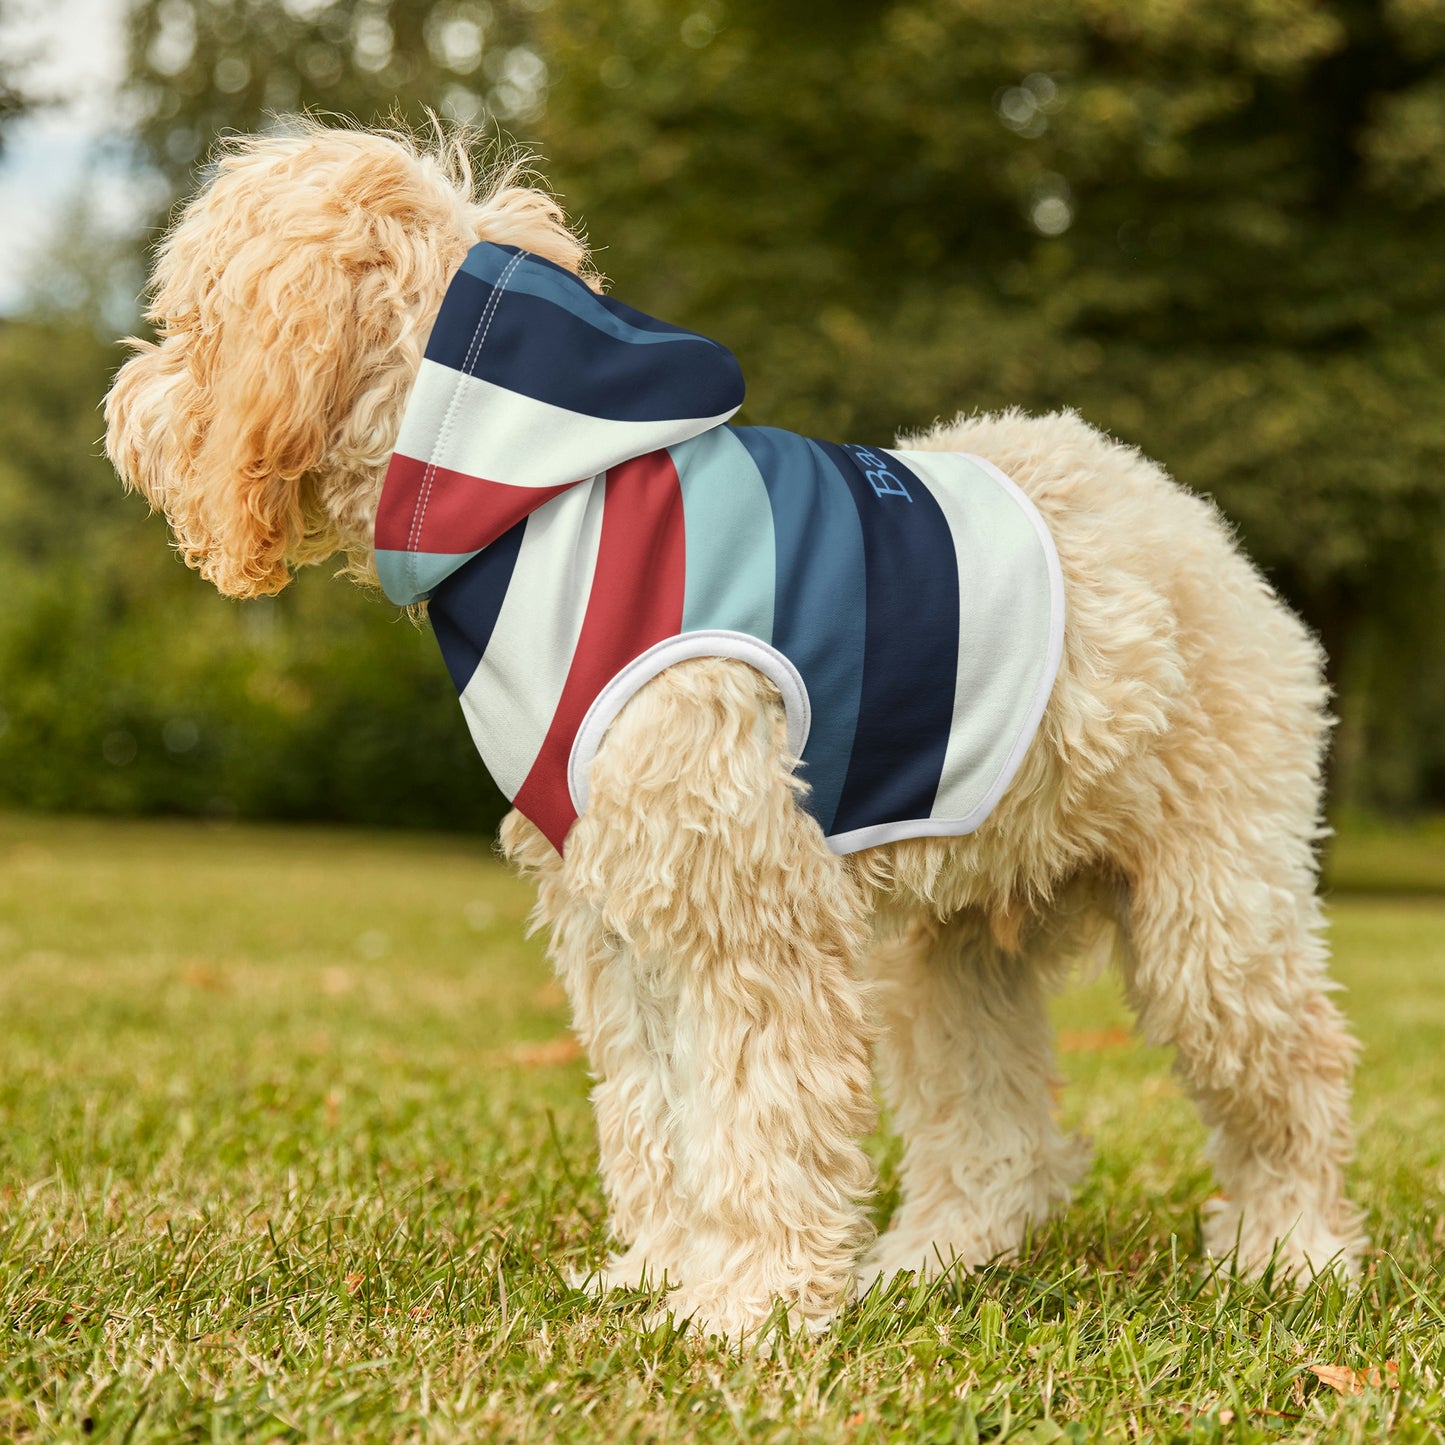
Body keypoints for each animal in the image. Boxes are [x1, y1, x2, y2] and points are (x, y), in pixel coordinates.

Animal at [104, 124, 1364, 1340]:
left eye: (191, 319)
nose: (123, 407)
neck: (537, 491)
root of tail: (1187, 519)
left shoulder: (744, 907)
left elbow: (759, 1112)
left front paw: (747, 1304)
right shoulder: (619, 913)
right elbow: (656, 1112)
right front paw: (662, 1272)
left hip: (1212, 915)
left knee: (1293, 1074)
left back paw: (1290, 1251)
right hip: (950, 948)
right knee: (995, 1132)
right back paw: (930, 1259)